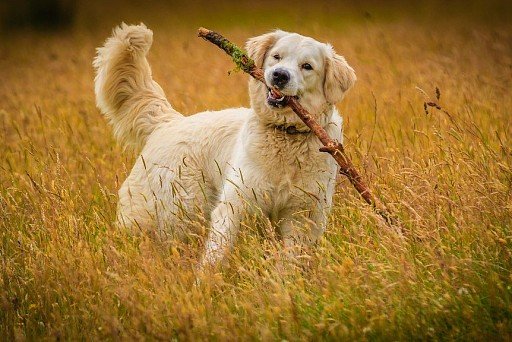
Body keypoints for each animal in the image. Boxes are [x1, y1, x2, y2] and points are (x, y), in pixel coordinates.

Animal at [93, 24, 356, 268]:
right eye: (276, 57)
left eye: (307, 66)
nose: (279, 75)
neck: (286, 137)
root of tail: (168, 122)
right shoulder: (234, 204)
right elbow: (216, 253)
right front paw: (206, 282)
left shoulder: (302, 216)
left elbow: (289, 262)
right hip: (171, 212)